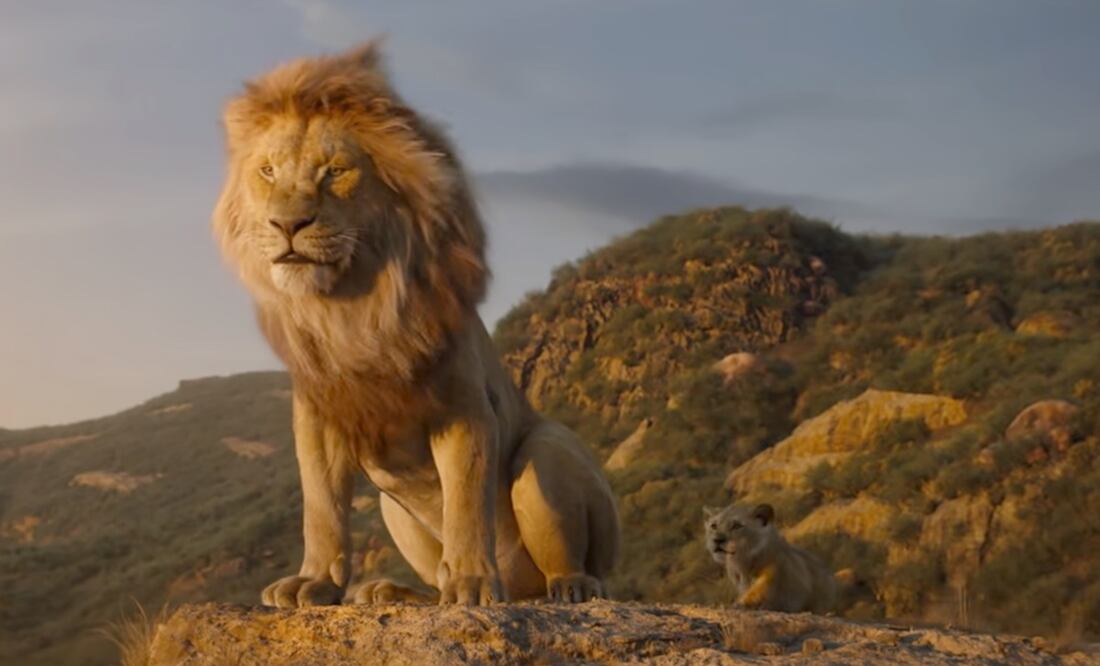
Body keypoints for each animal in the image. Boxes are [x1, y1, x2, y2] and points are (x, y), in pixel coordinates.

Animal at [212, 41, 620, 607]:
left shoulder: (463, 407)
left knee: (571, 559)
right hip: (394, 509)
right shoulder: (318, 417)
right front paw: (314, 582)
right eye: (268, 172)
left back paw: (569, 586)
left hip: (549, 452)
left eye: (334, 171)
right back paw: (395, 593)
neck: (351, 308)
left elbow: (466, 503)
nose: (286, 224)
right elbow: (321, 508)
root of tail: (521, 590)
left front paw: (471, 585)